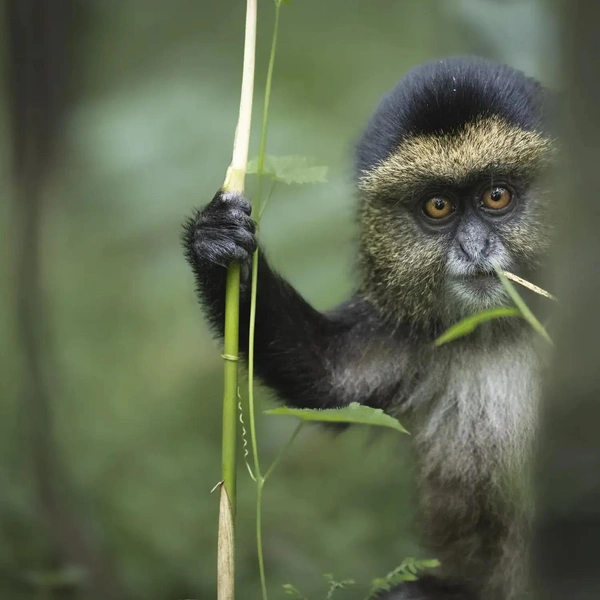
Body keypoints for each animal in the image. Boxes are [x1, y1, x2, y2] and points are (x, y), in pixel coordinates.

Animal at [182, 57, 552, 600]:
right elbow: (329, 380)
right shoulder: (406, 329)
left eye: (497, 195)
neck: (503, 328)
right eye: (438, 206)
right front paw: (215, 243)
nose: (474, 248)